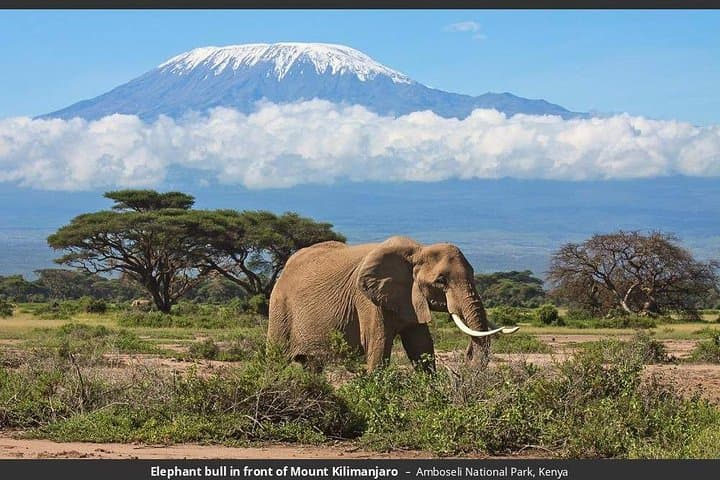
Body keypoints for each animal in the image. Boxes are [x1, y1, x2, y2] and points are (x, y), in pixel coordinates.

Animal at [267, 236, 518, 371]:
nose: (467, 355)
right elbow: (378, 348)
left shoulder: (410, 298)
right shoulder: (366, 300)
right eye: (441, 281)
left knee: (312, 366)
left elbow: (422, 348)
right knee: (276, 359)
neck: (417, 251)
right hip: (279, 306)